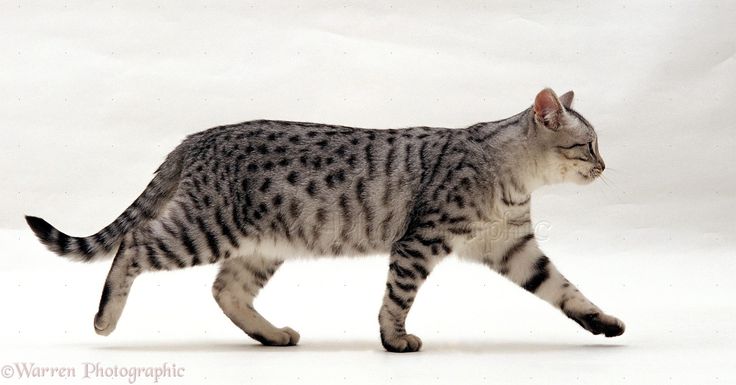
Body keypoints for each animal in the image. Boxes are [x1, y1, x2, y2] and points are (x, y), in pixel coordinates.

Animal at [25, 88, 624, 352]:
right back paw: (105, 318)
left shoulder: (513, 247)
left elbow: (565, 290)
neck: (512, 176)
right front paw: (393, 339)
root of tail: (200, 136)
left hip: (260, 246)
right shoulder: (421, 240)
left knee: (225, 291)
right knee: (133, 245)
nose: (604, 166)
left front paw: (604, 322)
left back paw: (271, 335)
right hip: (204, 228)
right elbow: (397, 298)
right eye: (588, 144)